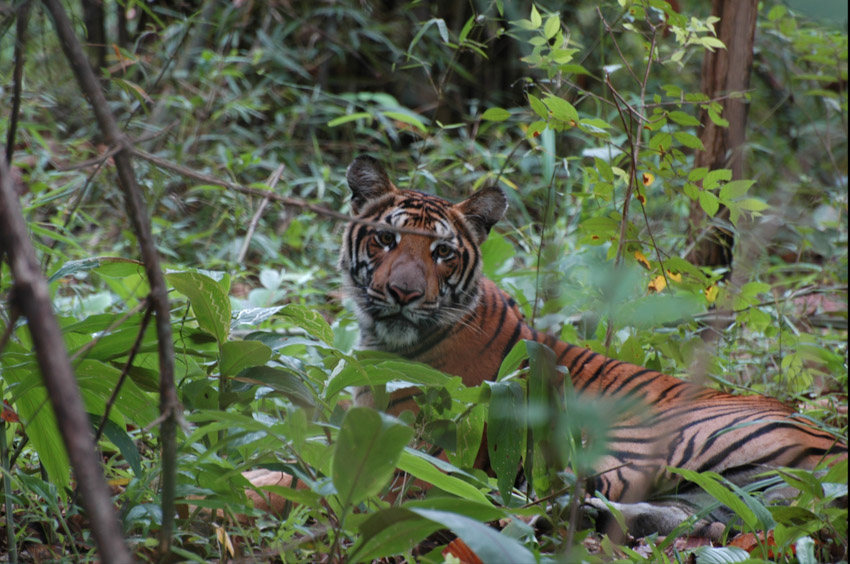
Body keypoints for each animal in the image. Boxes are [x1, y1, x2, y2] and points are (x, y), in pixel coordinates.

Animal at [334, 154, 844, 536]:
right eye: (386, 238)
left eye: (442, 252)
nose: (403, 293)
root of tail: (832, 441)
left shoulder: (411, 449)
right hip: (722, 492)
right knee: (687, 518)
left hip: (634, 441)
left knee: (549, 495)